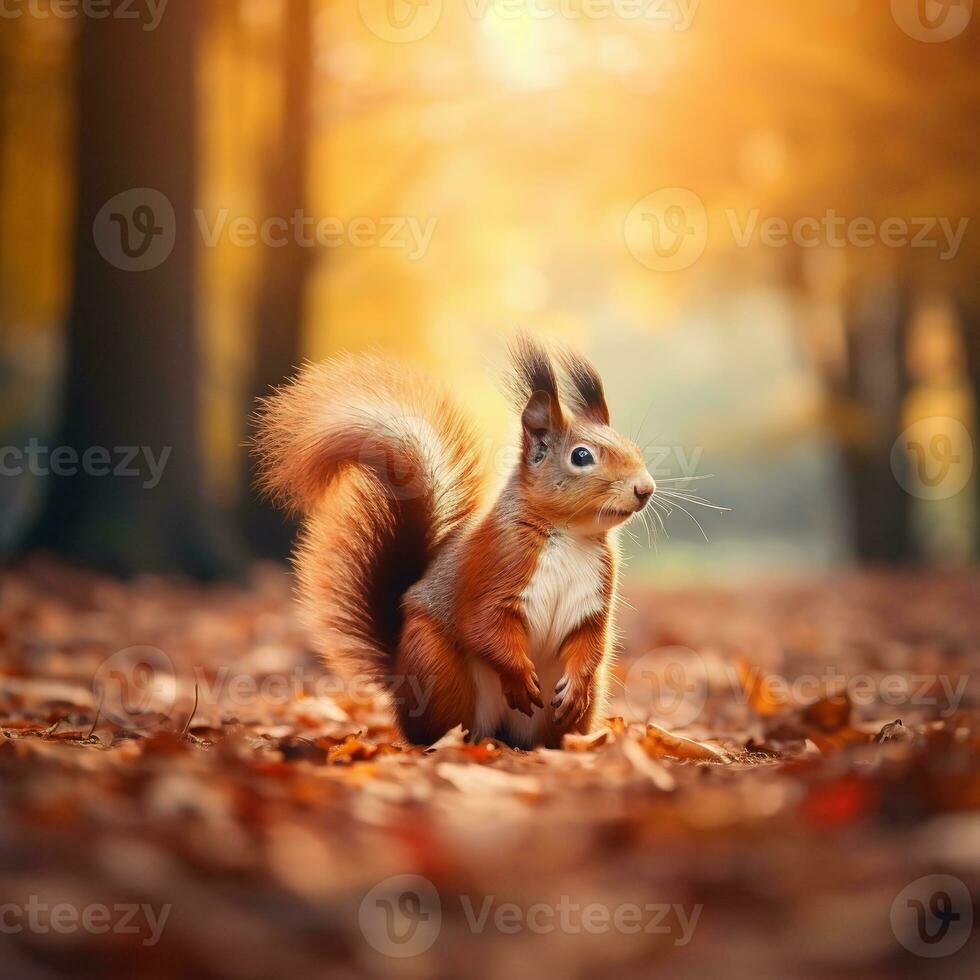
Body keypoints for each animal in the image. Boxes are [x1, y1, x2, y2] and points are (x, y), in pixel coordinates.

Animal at [256, 336, 656, 752]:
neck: (571, 535)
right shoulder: (494, 565)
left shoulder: (594, 596)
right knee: (445, 726)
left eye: (635, 449)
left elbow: (591, 640)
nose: (645, 488)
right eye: (581, 456)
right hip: (436, 667)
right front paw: (518, 677)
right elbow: (482, 624)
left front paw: (575, 685)